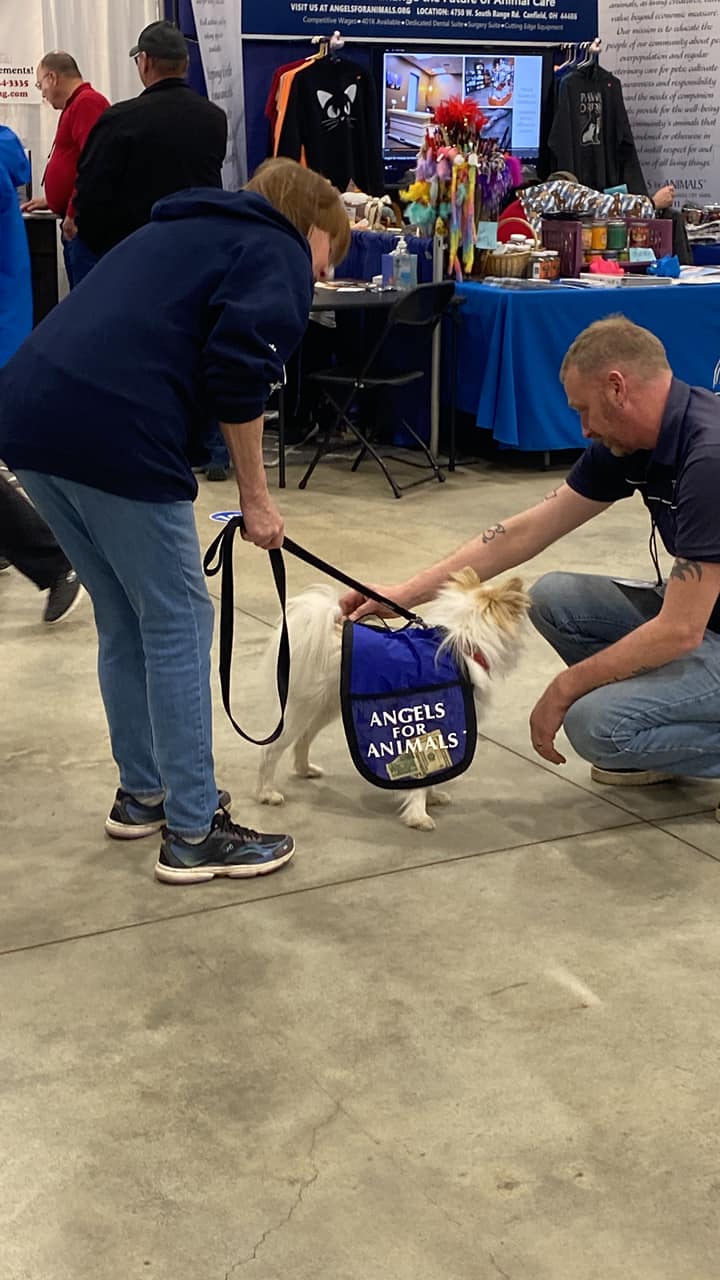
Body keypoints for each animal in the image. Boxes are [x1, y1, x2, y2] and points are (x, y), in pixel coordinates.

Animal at [256, 568, 529, 830]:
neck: (463, 642)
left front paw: (432, 797)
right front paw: (418, 815)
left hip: (326, 707)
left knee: (303, 738)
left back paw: (304, 770)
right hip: (301, 708)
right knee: (271, 749)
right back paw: (267, 793)